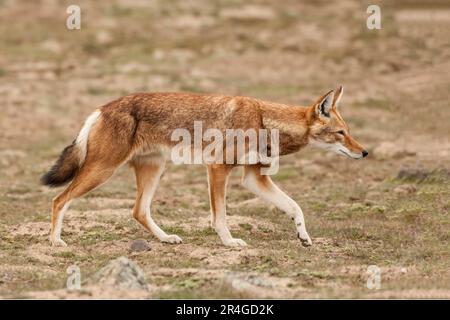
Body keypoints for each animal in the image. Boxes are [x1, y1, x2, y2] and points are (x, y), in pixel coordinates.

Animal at [40, 87, 368, 248]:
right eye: (341, 133)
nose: (364, 152)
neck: (264, 120)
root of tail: (100, 109)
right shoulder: (218, 168)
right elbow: (220, 216)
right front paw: (230, 242)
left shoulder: (253, 178)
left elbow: (295, 206)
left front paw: (304, 237)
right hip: (103, 171)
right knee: (58, 200)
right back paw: (56, 242)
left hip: (153, 170)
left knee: (138, 211)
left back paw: (166, 239)